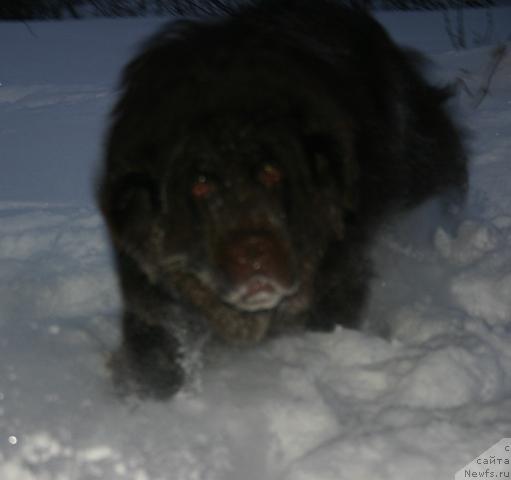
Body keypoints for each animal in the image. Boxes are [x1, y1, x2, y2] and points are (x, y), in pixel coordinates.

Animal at [97, 0, 468, 398]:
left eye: (272, 172)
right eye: (200, 186)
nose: (253, 252)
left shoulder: (337, 270)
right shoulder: (152, 293)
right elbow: (156, 351)